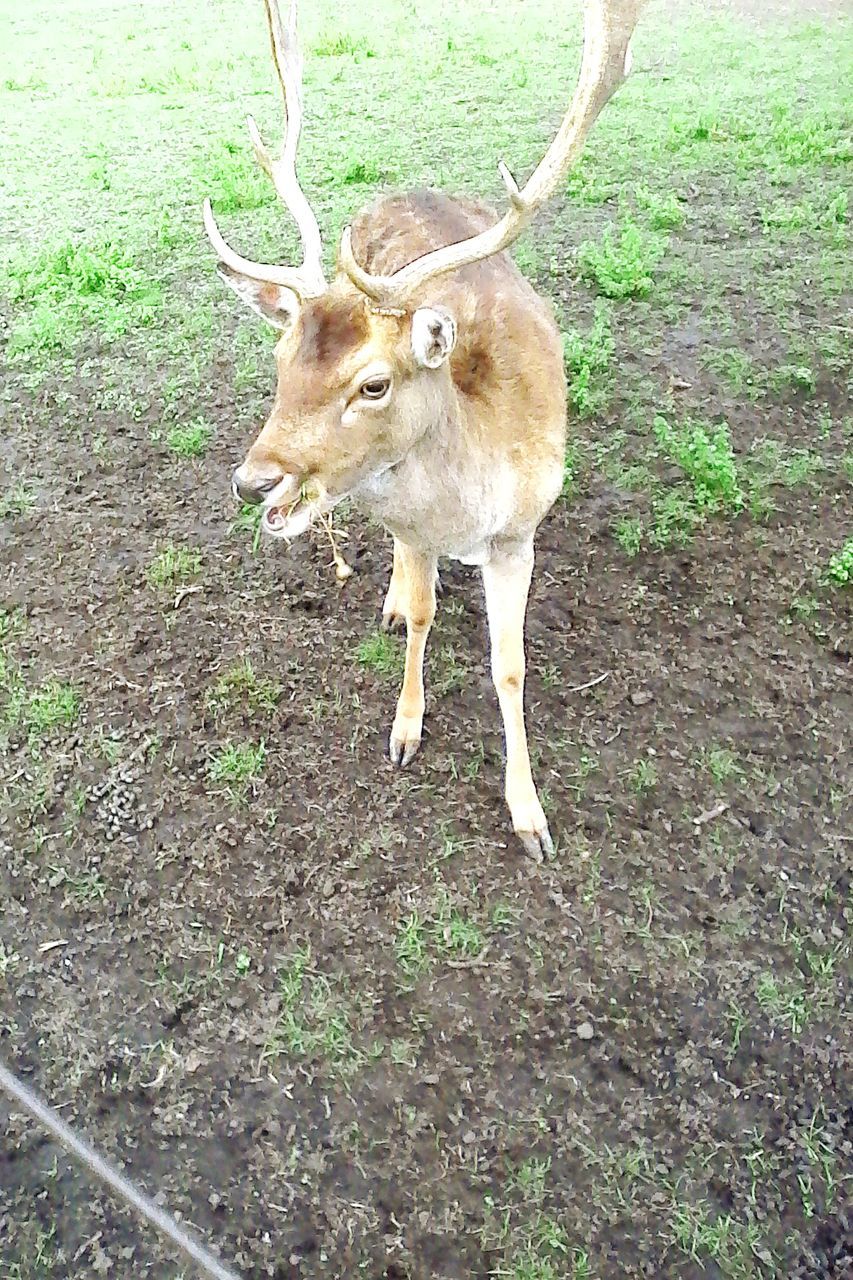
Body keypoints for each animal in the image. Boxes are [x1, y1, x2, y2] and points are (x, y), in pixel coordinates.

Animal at [202, 2, 640, 860]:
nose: (253, 481)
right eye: (280, 358)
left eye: (372, 383)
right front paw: (405, 728)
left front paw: (529, 817)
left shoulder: (520, 532)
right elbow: (425, 616)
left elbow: (510, 667)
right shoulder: (408, 523)